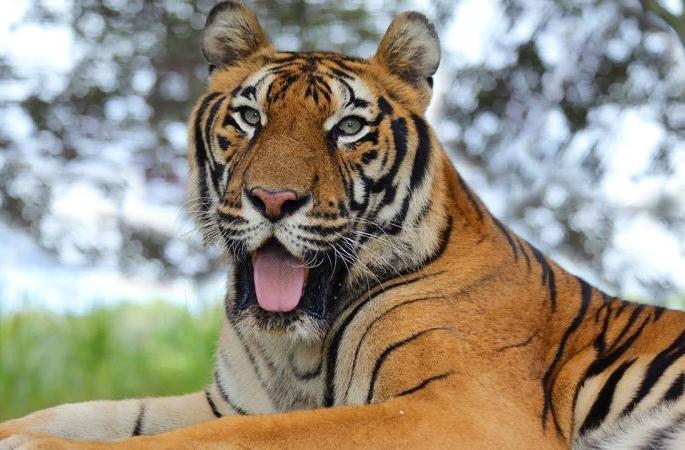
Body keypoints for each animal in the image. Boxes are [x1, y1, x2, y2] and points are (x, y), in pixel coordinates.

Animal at [1, 2, 685, 449]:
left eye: (348, 128)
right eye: (250, 117)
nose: (273, 199)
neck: (296, 349)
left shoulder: (458, 407)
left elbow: (246, 438)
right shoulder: (227, 402)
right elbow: (96, 414)